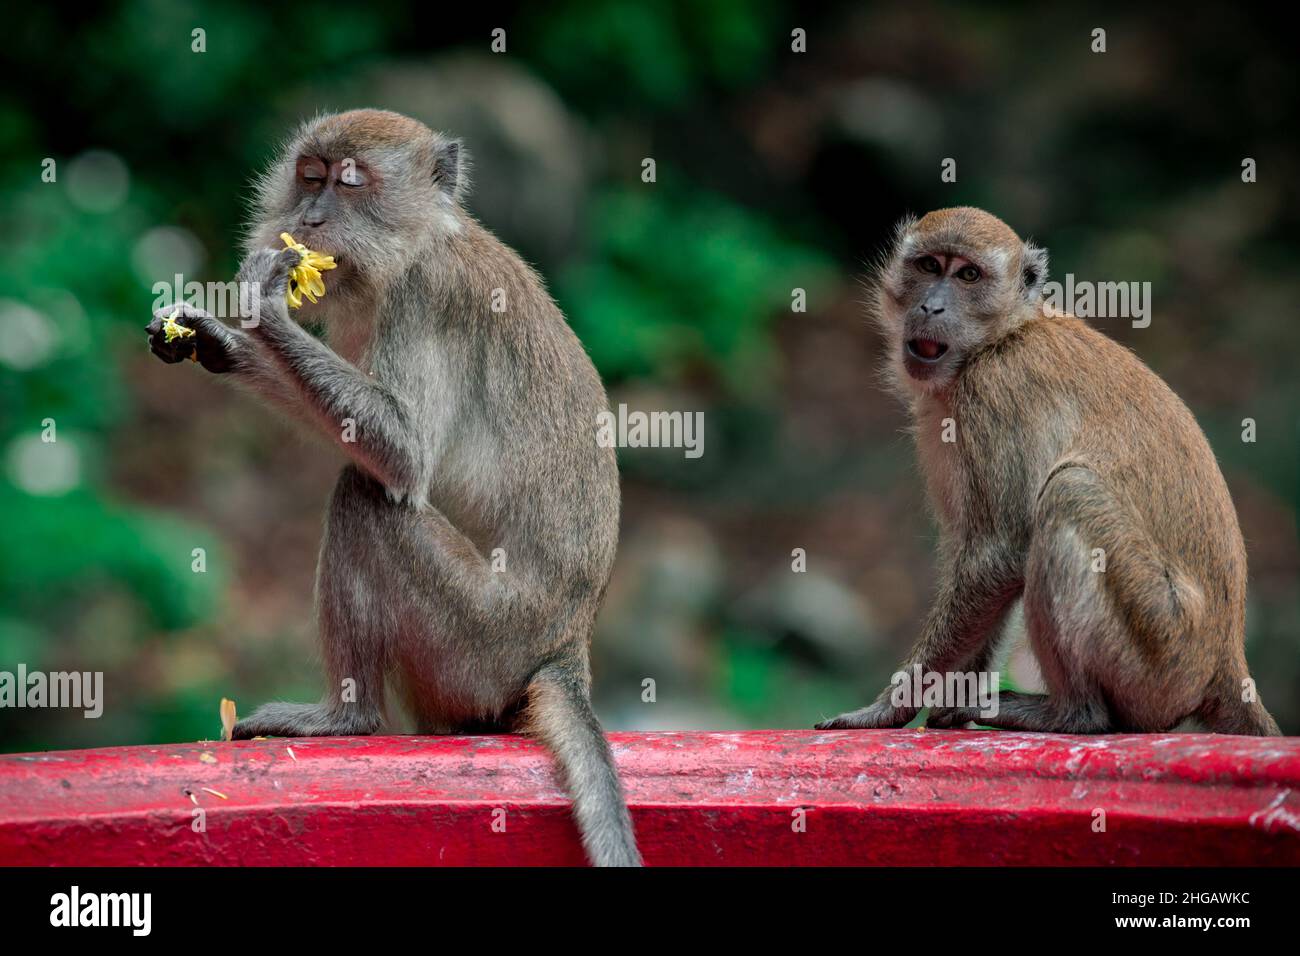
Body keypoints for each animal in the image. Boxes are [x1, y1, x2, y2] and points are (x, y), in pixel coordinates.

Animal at [145, 109, 642, 865]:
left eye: (350, 184)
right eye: (310, 178)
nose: (311, 219)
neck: (414, 245)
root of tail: (565, 648)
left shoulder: (425, 296)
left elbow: (402, 457)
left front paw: (263, 305)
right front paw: (216, 341)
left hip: (477, 641)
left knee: (365, 500)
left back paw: (347, 718)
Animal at [818, 207, 1280, 737]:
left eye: (968, 275)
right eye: (930, 266)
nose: (931, 307)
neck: (1000, 337)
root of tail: (1226, 659)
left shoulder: (991, 394)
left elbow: (995, 557)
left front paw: (886, 708)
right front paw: (950, 699)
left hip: (1159, 653)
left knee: (1069, 493)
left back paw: (1073, 714)